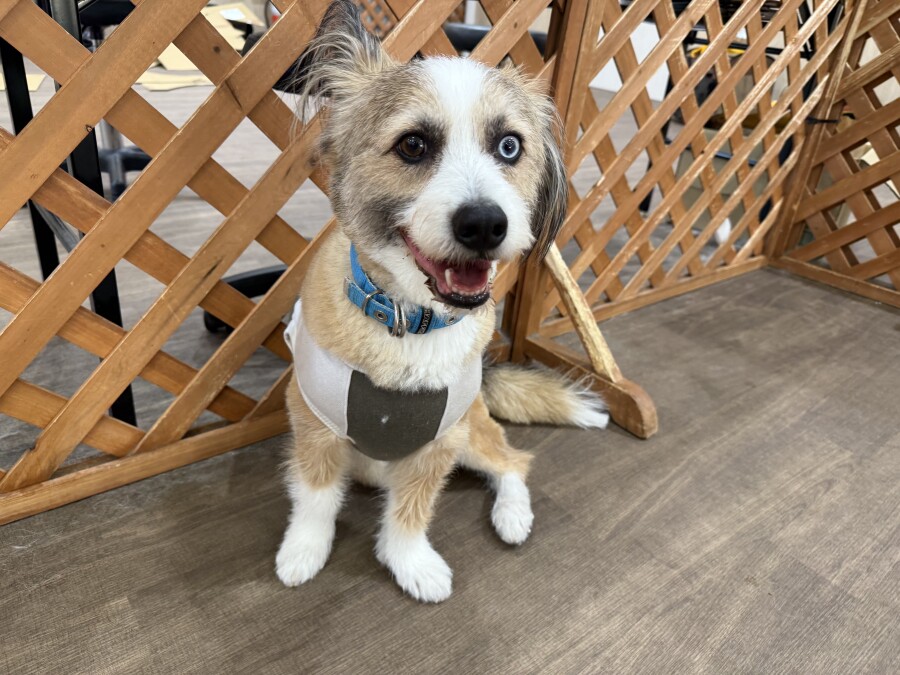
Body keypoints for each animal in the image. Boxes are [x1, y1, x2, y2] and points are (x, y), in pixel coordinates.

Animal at [276, 0, 608, 603]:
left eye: (509, 146)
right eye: (413, 144)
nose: (484, 224)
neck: (407, 322)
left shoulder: (439, 444)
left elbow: (411, 511)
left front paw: (411, 563)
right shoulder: (313, 423)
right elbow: (315, 496)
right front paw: (304, 550)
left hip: (471, 432)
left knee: (513, 461)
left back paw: (512, 517)